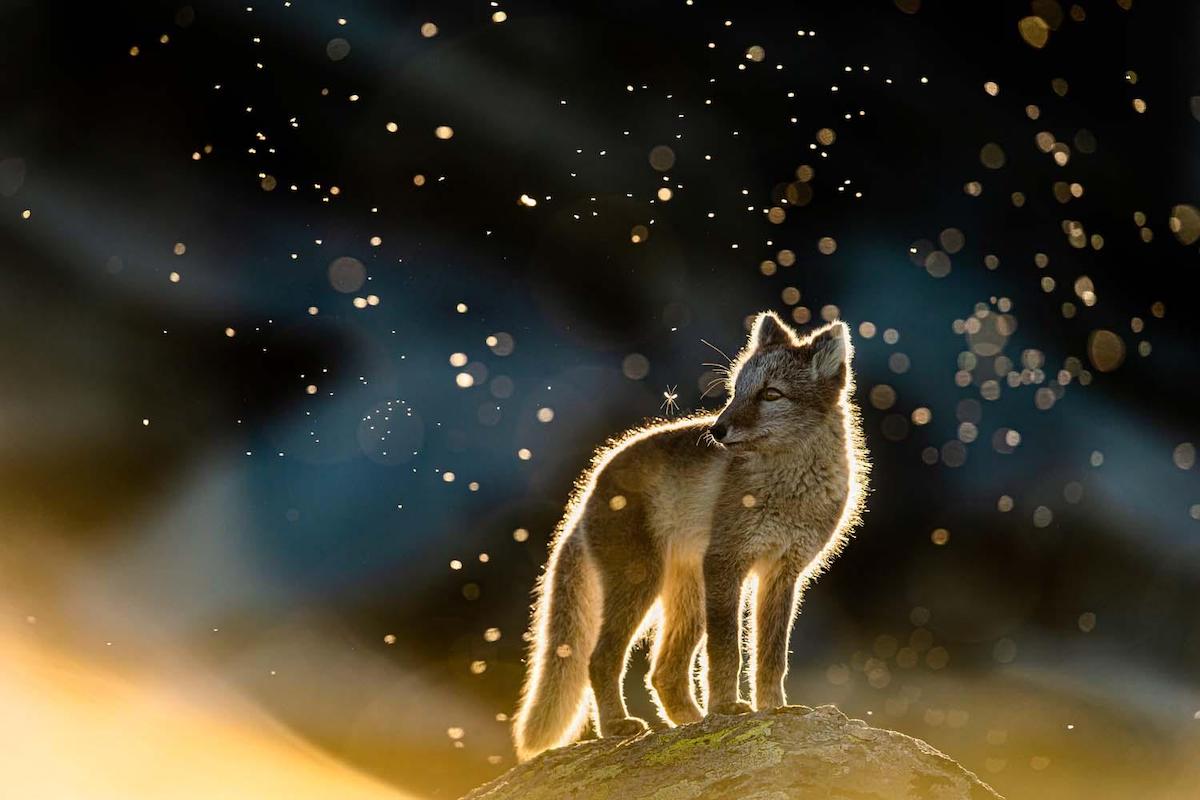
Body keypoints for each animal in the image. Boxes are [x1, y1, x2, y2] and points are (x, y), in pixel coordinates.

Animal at [511, 311, 868, 762]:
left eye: (771, 394)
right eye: (735, 391)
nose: (717, 430)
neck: (789, 489)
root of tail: (587, 490)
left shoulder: (783, 572)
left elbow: (770, 656)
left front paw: (774, 708)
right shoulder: (726, 561)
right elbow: (727, 650)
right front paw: (727, 708)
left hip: (689, 597)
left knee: (663, 672)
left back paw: (690, 724)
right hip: (645, 584)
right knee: (601, 659)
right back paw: (618, 728)